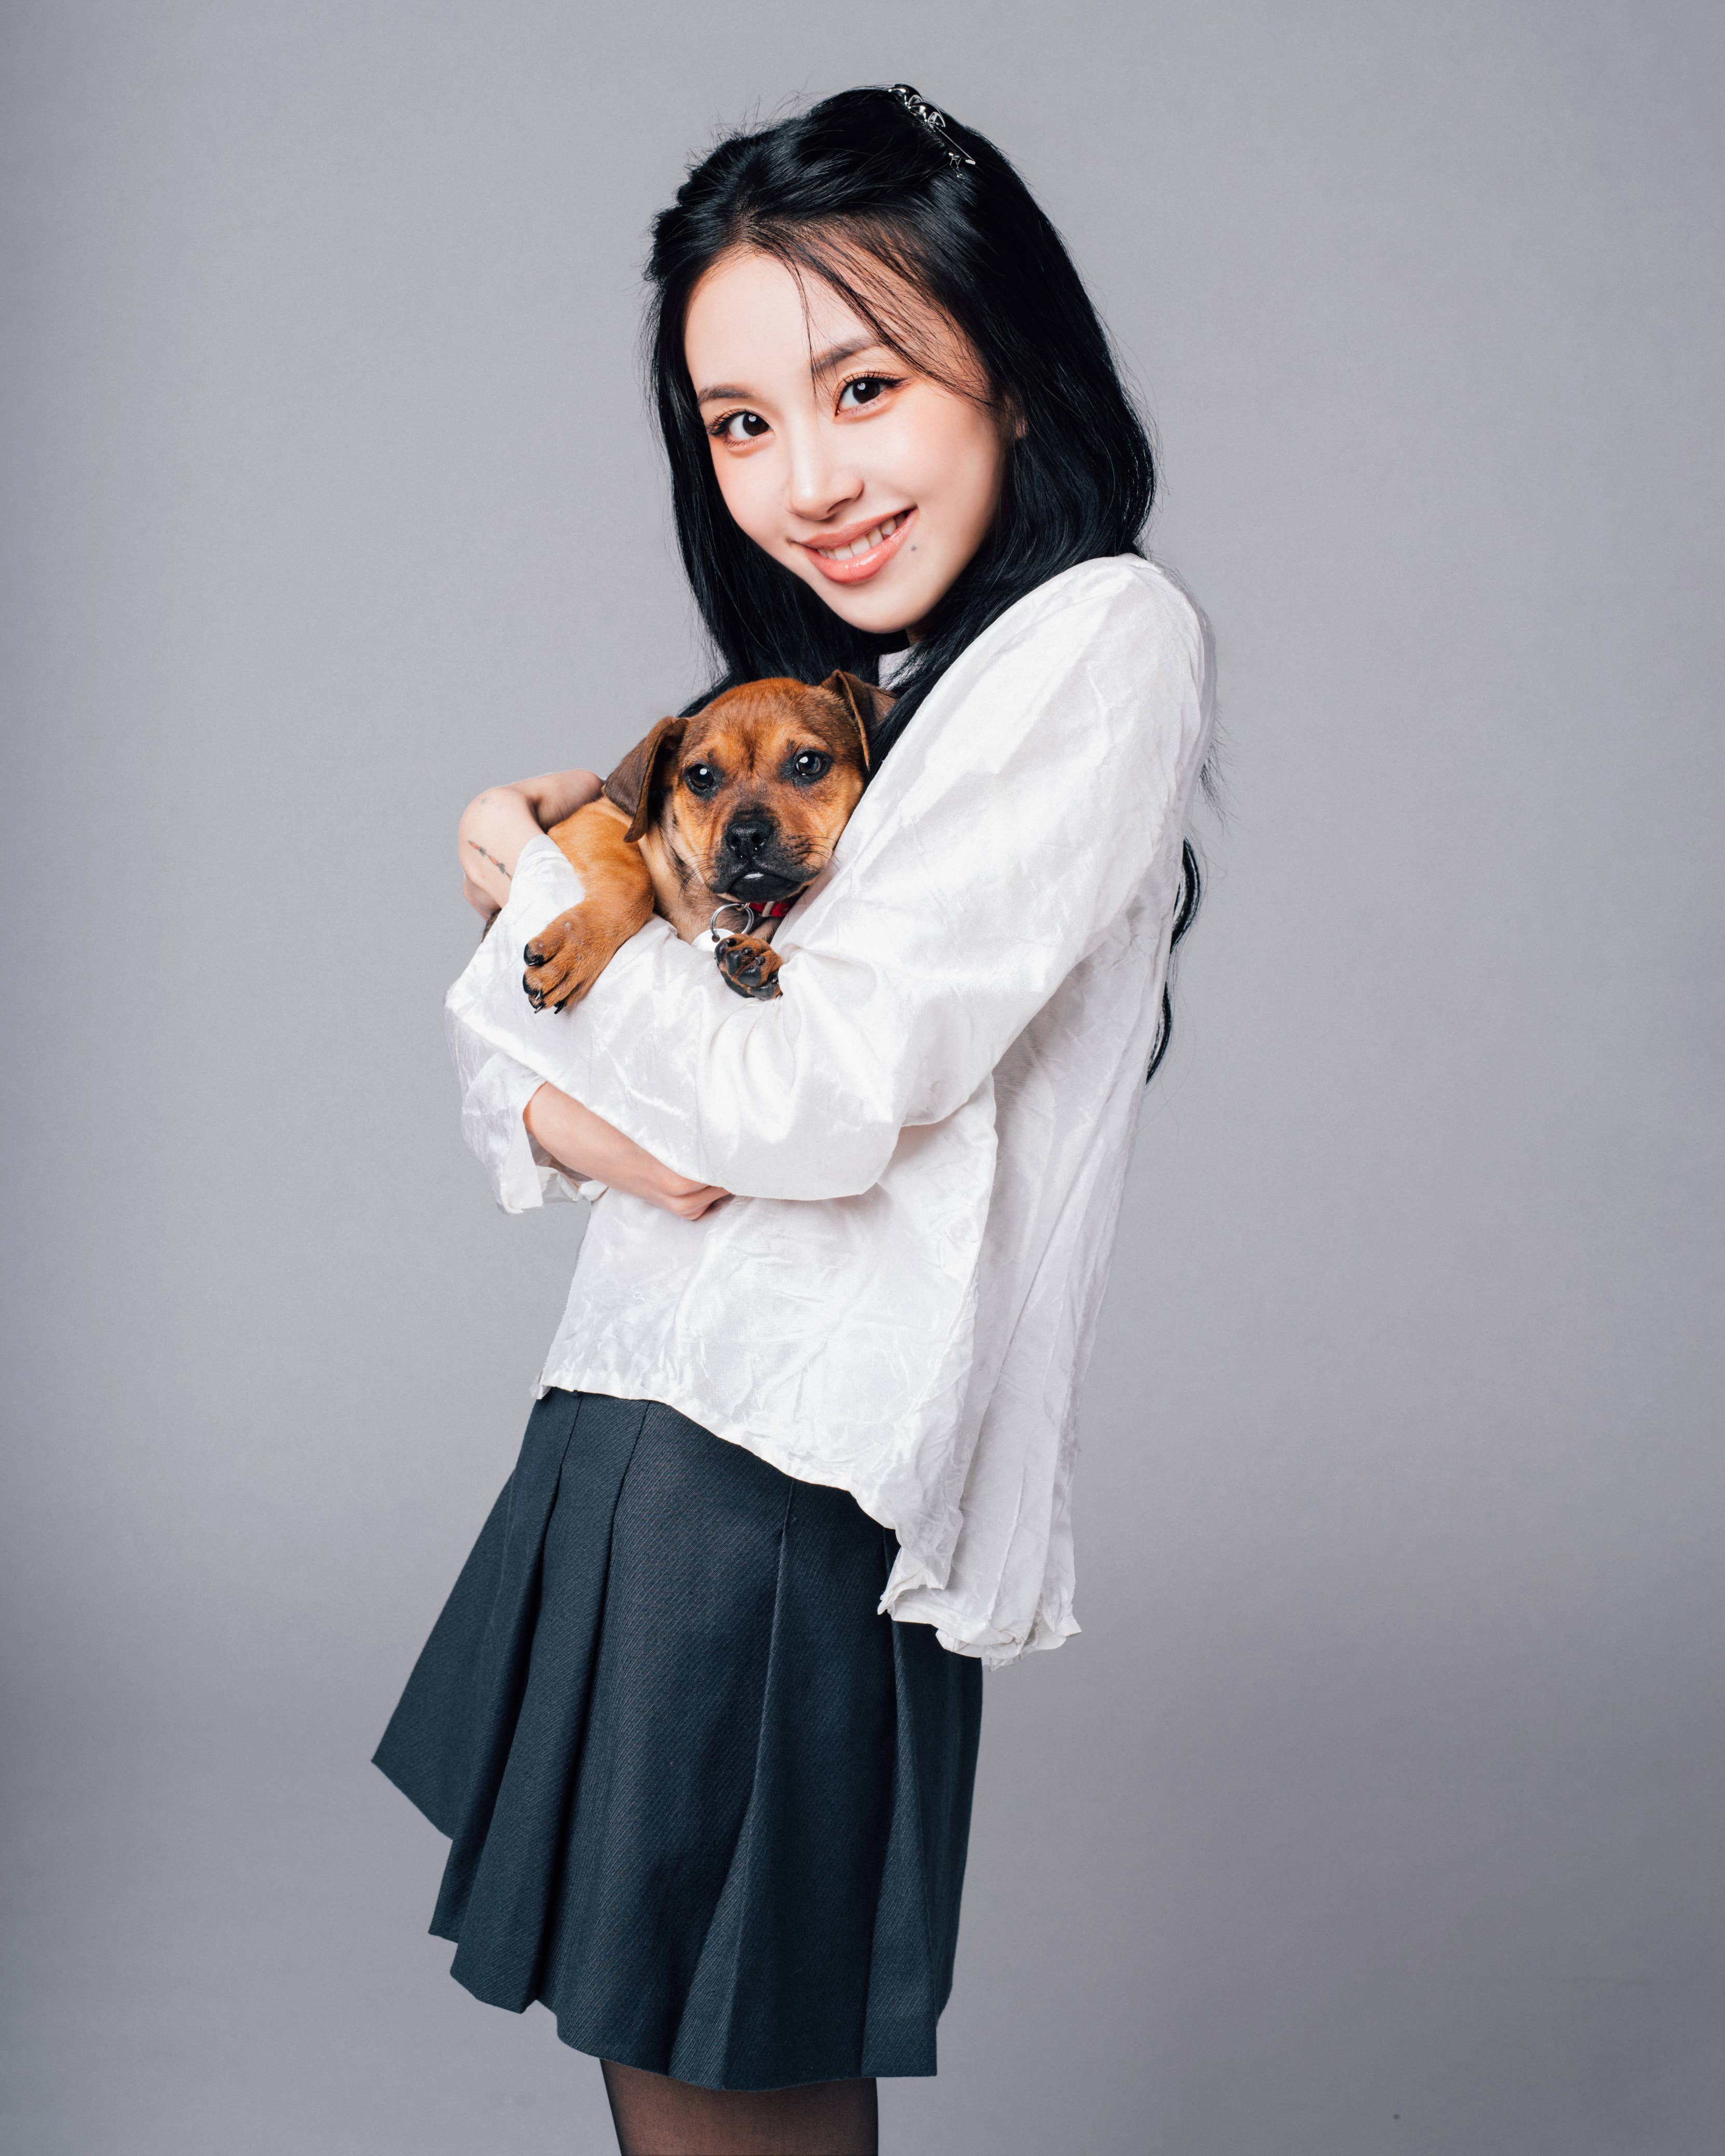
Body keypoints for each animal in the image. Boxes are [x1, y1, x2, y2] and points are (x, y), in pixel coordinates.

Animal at [520, 673, 897, 1009]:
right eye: (700, 776)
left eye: (809, 763)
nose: (746, 837)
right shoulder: (594, 817)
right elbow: (633, 883)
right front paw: (575, 947)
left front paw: (760, 958)